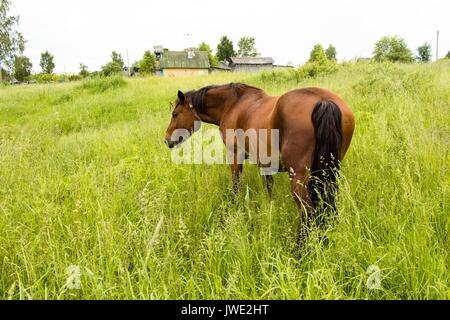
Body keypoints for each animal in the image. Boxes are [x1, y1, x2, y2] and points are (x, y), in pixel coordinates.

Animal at [165, 82, 356, 218]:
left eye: (175, 114)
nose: (166, 140)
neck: (232, 105)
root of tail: (324, 101)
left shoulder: (235, 155)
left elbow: (236, 184)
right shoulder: (265, 163)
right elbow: (268, 187)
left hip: (300, 179)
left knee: (307, 213)